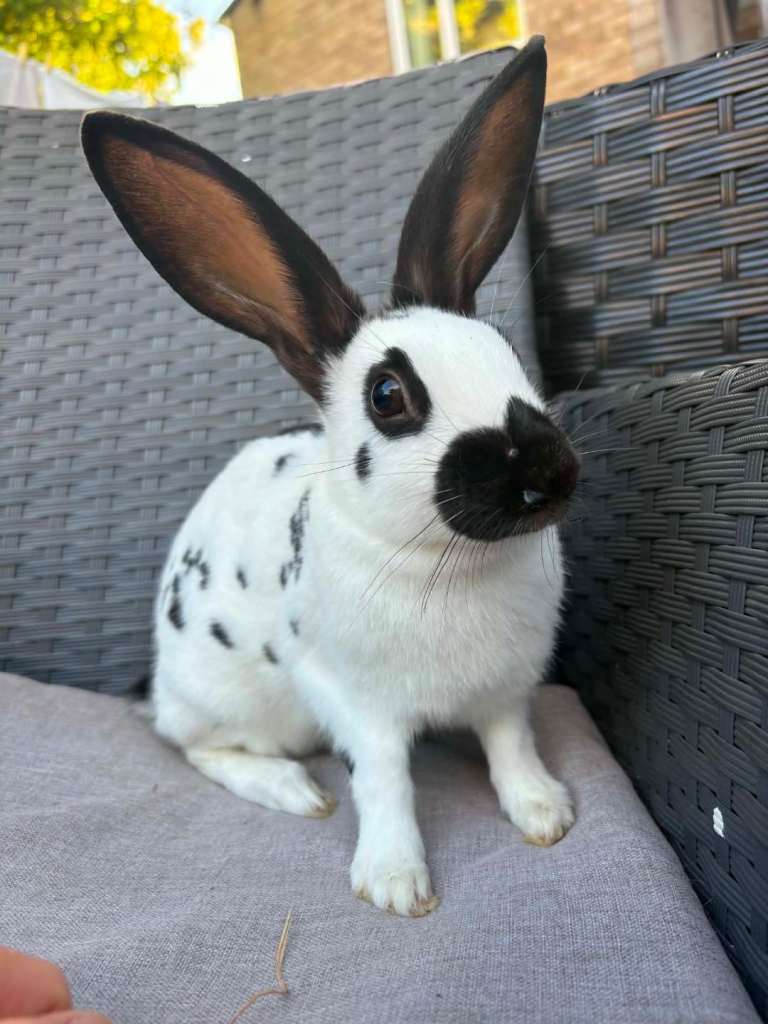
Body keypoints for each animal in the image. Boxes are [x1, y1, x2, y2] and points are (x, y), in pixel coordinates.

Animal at [81, 35, 579, 918]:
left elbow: (511, 748)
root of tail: (160, 685)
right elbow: (383, 783)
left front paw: (543, 813)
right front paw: (394, 884)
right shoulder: (356, 705)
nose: (547, 477)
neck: (446, 560)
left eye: (509, 355)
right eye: (388, 397)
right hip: (230, 699)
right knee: (194, 747)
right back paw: (291, 790)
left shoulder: (505, 692)